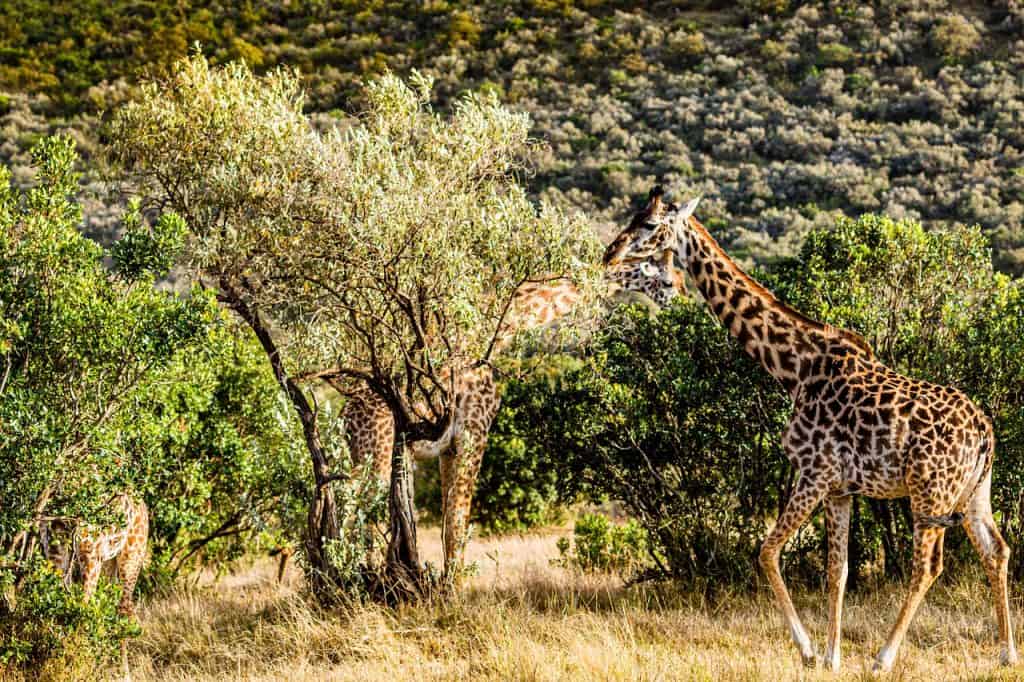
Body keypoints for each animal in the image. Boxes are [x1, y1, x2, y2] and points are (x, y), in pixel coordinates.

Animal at [337, 188, 688, 577]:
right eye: (670, 282)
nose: (685, 305)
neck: (500, 329)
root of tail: (347, 417)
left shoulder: (448, 448)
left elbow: (448, 528)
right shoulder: (474, 432)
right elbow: (457, 528)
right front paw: (453, 589)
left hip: (365, 457)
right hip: (375, 455)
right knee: (352, 519)